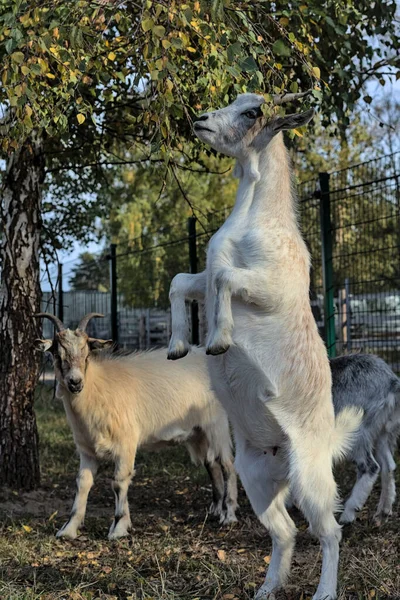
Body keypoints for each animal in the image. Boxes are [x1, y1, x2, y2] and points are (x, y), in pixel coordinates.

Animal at [168, 91, 362, 596]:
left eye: (253, 112)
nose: (199, 120)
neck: (252, 216)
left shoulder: (274, 287)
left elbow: (224, 276)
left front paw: (219, 339)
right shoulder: (200, 276)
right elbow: (183, 281)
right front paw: (178, 346)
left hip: (310, 481)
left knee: (328, 532)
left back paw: (324, 591)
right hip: (255, 480)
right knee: (285, 532)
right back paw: (268, 588)